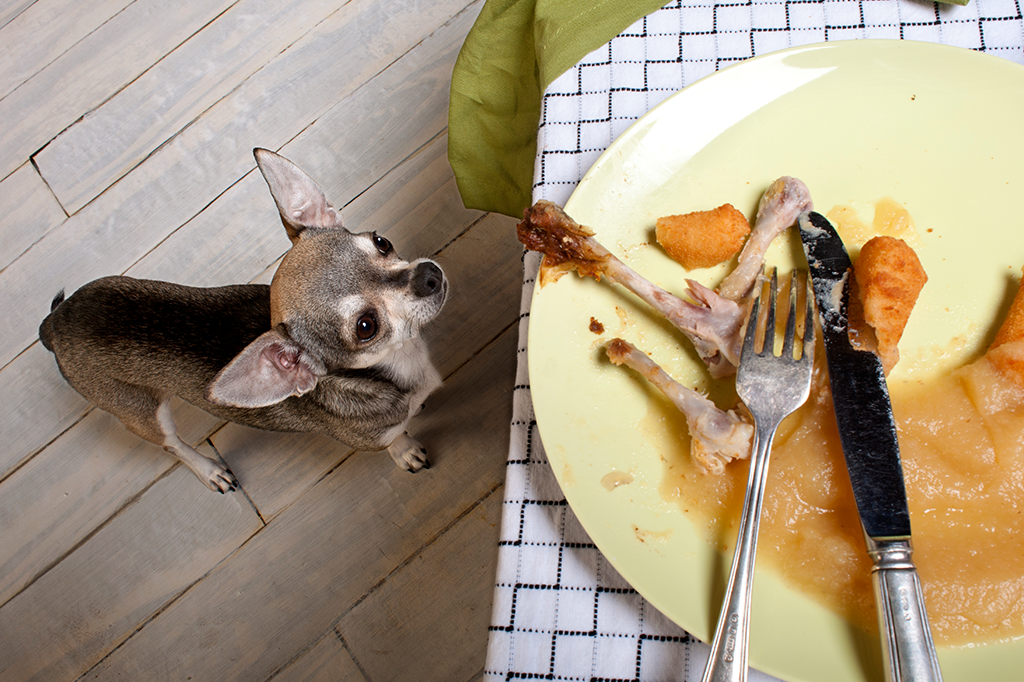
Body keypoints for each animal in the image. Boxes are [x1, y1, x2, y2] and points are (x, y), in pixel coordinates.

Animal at [37, 147, 446, 489]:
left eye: (381, 242)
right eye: (365, 327)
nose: (429, 275)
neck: (402, 361)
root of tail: (56, 323)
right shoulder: (375, 438)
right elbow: (394, 439)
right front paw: (405, 450)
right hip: (143, 414)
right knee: (172, 445)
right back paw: (209, 470)